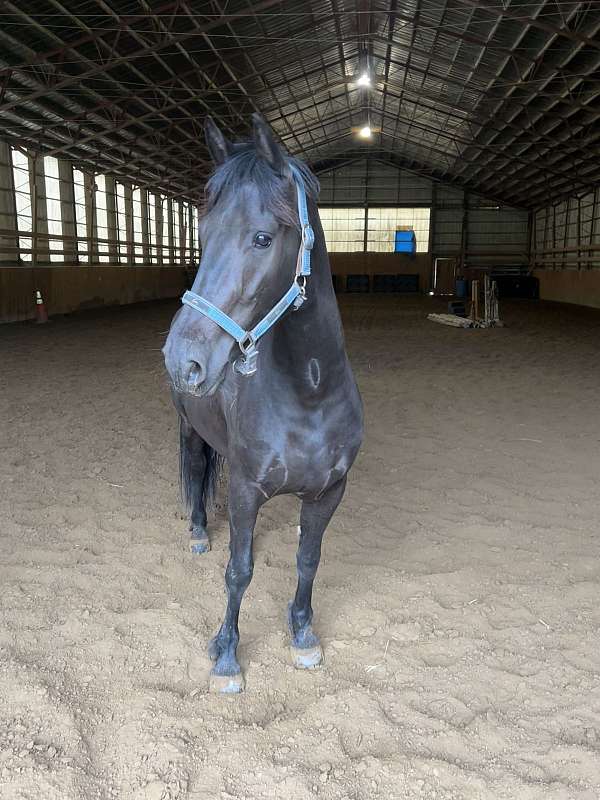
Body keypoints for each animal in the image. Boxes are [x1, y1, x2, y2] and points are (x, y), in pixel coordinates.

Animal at [163, 114, 363, 693]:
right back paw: (198, 532)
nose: (183, 360)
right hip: (188, 428)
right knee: (195, 469)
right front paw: (226, 655)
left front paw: (303, 635)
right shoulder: (247, 491)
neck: (310, 394)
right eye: (202, 233)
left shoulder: (329, 492)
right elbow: (240, 570)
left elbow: (308, 559)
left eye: (262, 238)